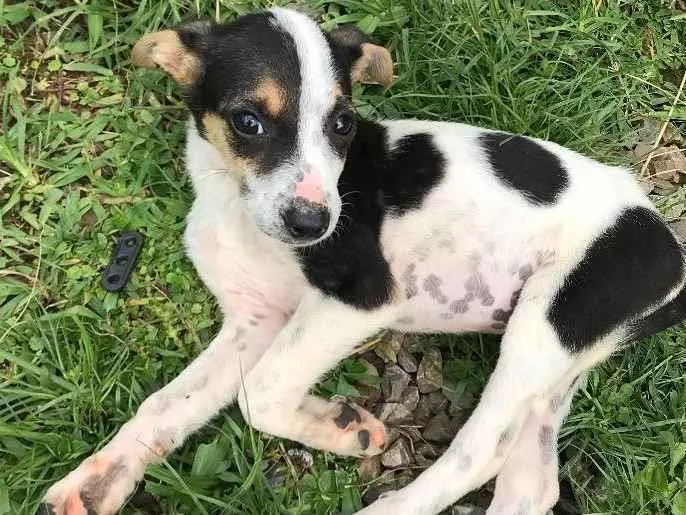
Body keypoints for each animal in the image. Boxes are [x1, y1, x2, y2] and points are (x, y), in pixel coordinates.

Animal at [39, 8, 686, 515]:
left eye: (342, 124)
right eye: (249, 121)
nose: (314, 224)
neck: (236, 207)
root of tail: (662, 236)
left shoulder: (360, 296)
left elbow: (260, 394)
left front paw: (339, 428)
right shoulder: (257, 322)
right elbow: (166, 406)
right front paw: (97, 480)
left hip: (544, 327)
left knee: (480, 452)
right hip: (567, 350)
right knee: (530, 481)